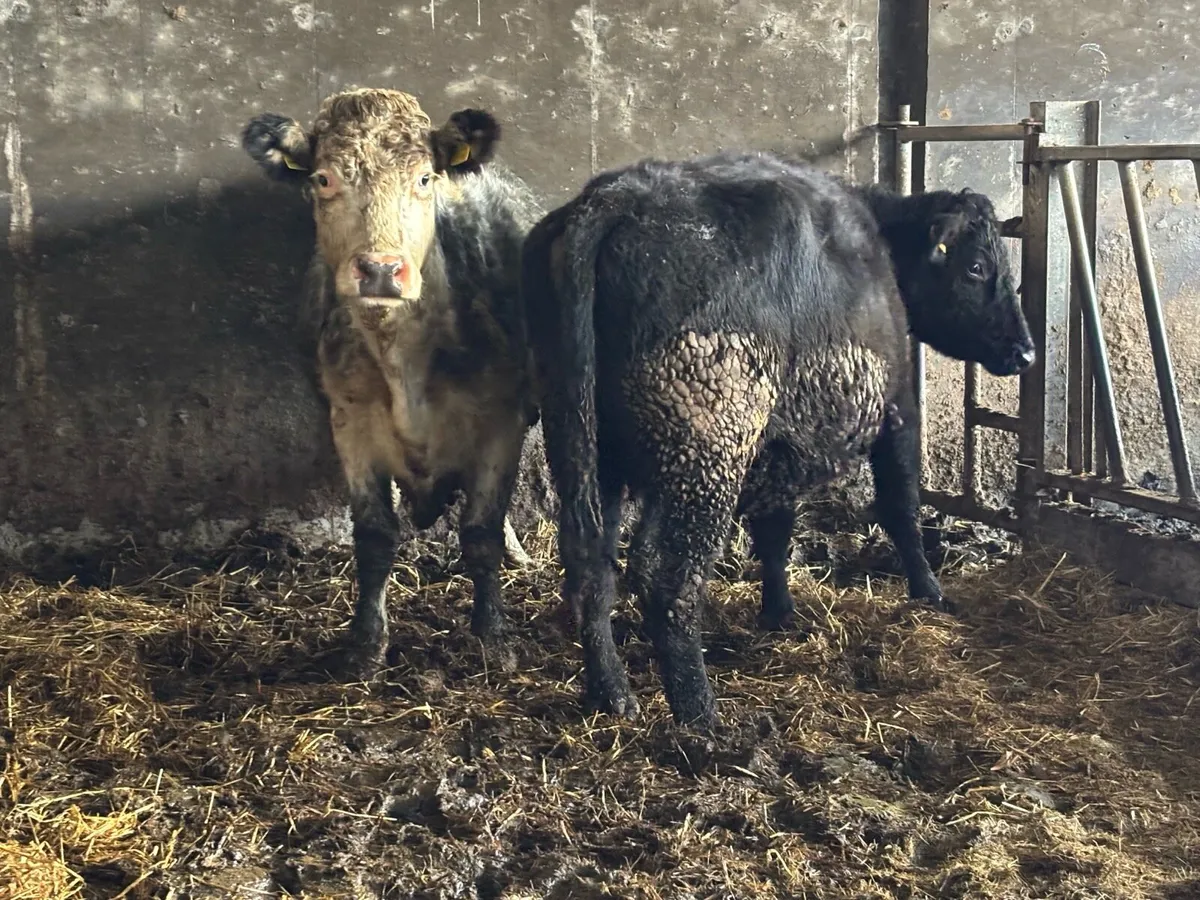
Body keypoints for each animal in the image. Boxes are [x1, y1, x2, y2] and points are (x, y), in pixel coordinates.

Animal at [241, 88, 542, 679]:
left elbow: (481, 531)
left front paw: (493, 637)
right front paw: (365, 643)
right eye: (324, 178)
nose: (381, 269)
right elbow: (376, 534)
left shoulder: (502, 421)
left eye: (424, 178)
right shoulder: (350, 420)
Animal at [522, 150, 1034, 730]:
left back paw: (611, 693)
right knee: (668, 578)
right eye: (977, 267)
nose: (1025, 351)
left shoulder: (779, 446)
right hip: (706, 456)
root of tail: (618, 197)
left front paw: (779, 612)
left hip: (586, 452)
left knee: (591, 566)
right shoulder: (896, 408)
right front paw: (929, 592)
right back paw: (701, 716)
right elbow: (901, 507)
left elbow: (774, 531)